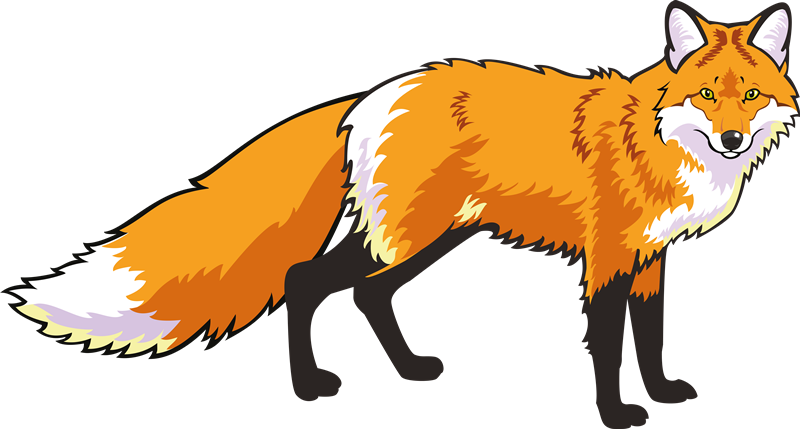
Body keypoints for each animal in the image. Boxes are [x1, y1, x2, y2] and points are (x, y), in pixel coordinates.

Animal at [6, 1, 796, 428]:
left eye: (752, 96)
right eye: (708, 95)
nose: (732, 139)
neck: (661, 141)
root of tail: (374, 92)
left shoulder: (651, 257)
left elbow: (652, 334)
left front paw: (660, 393)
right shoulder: (606, 257)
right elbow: (606, 344)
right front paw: (617, 414)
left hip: (432, 238)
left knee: (364, 292)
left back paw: (411, 369)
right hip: (410, 236)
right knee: (306, 279)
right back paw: (312, 386)